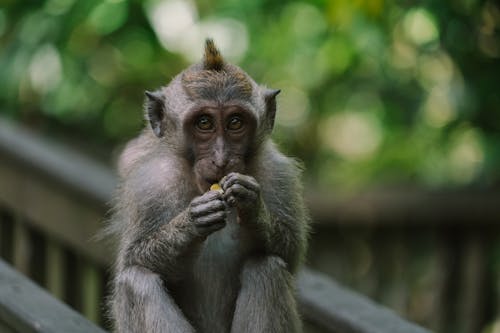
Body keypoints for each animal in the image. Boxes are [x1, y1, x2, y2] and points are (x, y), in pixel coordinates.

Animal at [107, 39, 310, 332]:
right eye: (204, 123)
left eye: (235, 122)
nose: (221, 158)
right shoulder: (149, 184)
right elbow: (132, 260)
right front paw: (191, 222)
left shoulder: (280, 174)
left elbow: (290, 254)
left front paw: (253, 208)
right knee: (135, 280)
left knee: (266, 267)